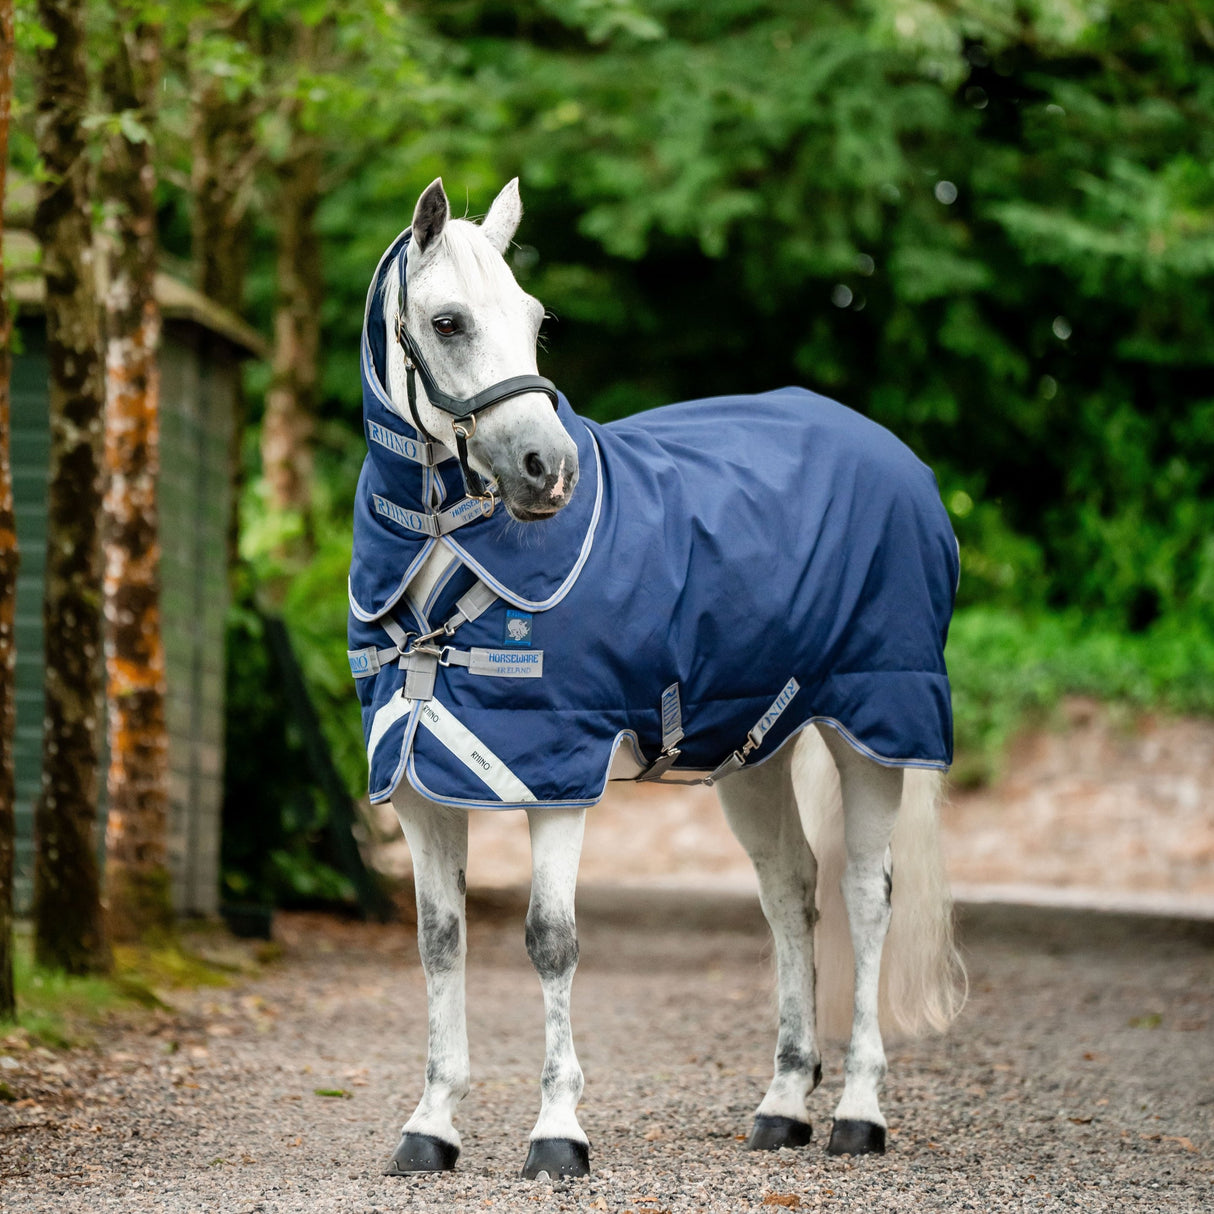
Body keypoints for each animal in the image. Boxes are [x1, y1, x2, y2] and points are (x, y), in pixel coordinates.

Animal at [347, 177, 964, 1181]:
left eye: (534, 319)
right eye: (447, 322)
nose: (547, 472)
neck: (447, 555)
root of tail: (897, 459)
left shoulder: (556, 773)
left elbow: (550, 941)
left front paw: (558, 1132)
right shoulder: (416, 783)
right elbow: (440, 944)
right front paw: (431, 1124)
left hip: (877, 727)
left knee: (867, 899)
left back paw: (859, 1114)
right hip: (757, 752)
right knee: (790, 893)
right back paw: (783, 1104)